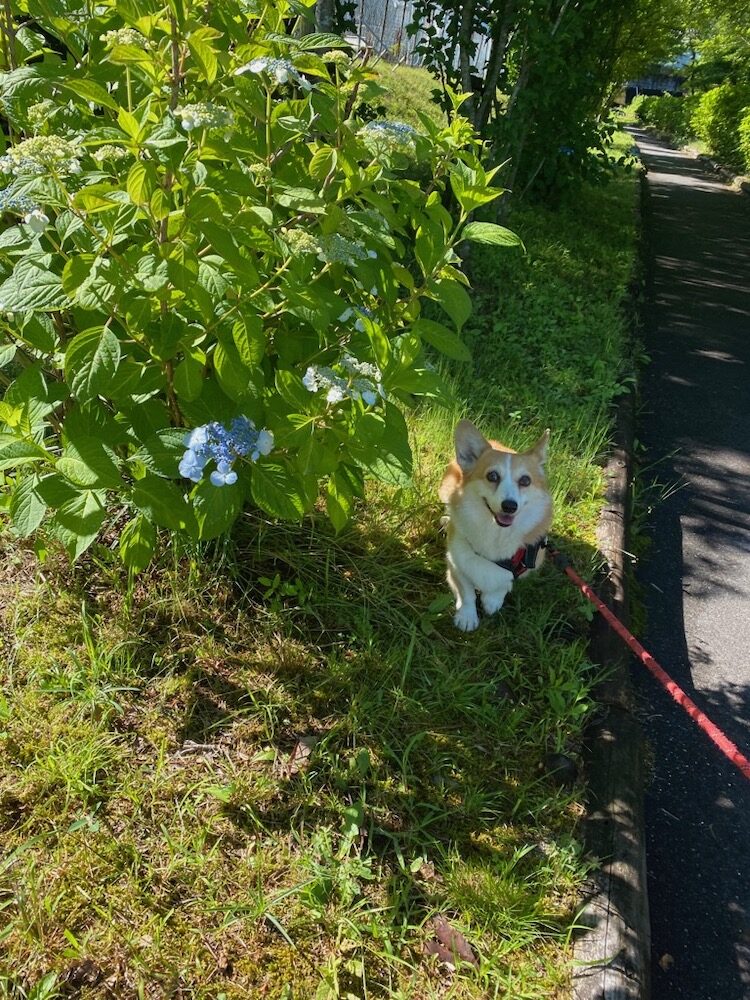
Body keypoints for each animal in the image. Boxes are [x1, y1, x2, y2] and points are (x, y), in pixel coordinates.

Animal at [440, 422, 552, 632]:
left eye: (525, 480)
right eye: (492, 476)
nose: (509, 506)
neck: (496, 533)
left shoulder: (525, 568)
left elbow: (505, 582)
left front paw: (492, 600)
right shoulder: (455, 563)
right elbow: (466, 591)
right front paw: (467, 616)